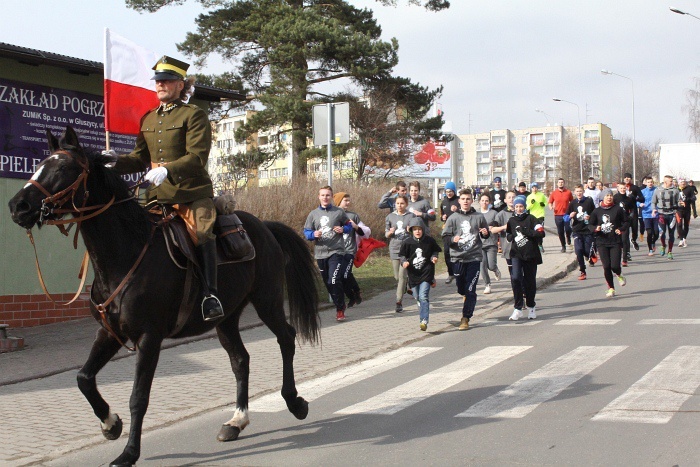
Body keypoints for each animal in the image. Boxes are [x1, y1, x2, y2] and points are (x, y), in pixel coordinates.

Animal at [7, 126, 320, 466]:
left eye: (63, 167)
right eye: (40, 163)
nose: (17, 206)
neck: (127, 253)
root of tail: (263, 225)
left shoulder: (149, 337)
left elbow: (138, 397)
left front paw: (129, 452)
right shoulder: (110, 332)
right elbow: (83, 378)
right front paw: (110, 424)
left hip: (267, 301)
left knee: (286, 338)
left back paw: (295, 402)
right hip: (226, 318)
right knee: (240, 360)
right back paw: (236, 421)